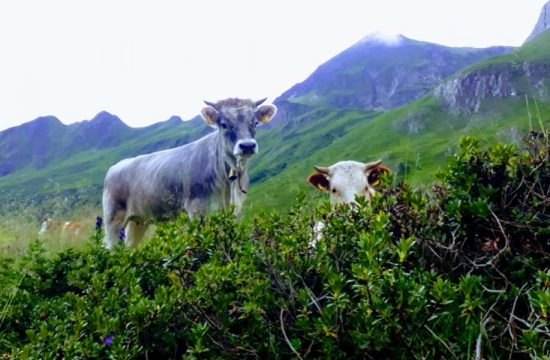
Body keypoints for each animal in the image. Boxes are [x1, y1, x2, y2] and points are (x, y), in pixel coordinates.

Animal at [102, 98, 278, 250]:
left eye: (255, 122)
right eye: (223, 124)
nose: (247, 145)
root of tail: (115, 167)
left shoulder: (235, 210)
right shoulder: (197, 209)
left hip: (138, 221)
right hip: (113, 218)